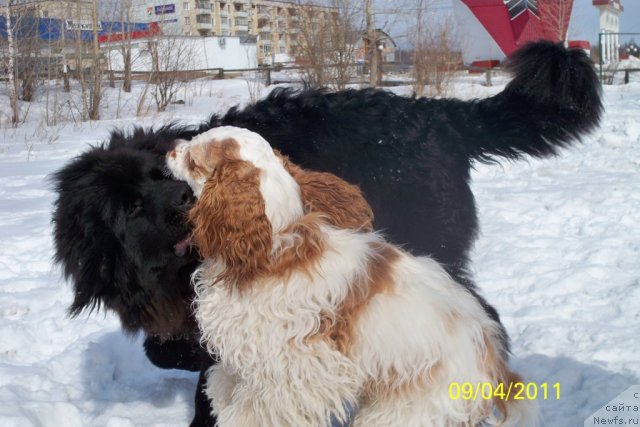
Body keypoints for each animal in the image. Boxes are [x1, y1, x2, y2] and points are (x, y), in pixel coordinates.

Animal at [168, 127, 536, 427]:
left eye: (194, 159)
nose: (171, 146)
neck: (275, 241)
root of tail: (497, 369)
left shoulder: (301, 371)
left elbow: (262, 409)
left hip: (404, 411)